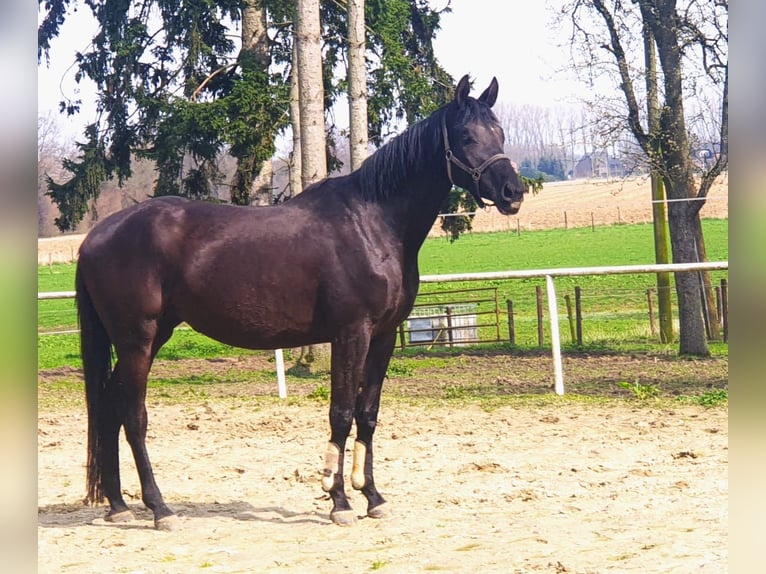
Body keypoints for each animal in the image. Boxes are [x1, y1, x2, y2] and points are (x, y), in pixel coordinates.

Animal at [76, 75, 528, 532]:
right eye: (467, 135)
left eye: (500, 133)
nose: (514, 192)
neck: (373, 223)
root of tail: (96, 236)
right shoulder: (351, 334)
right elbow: (341, 413)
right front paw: (339, 500)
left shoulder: (383, 336)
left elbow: (367, 413)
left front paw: (373, 497)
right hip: (138, 339)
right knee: (133, 415)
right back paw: (160, 508)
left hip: (153, 336)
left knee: (110, 406)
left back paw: (118, 504)